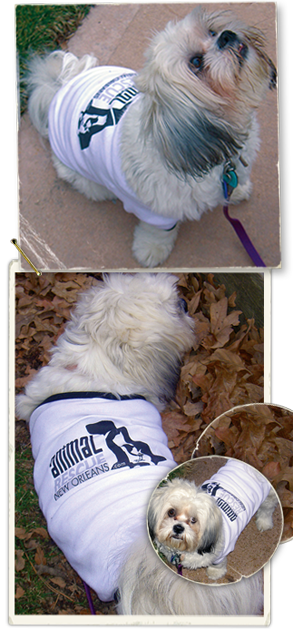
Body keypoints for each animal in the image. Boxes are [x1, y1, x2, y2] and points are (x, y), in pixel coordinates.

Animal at [26, 7, 274, 268]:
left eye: (212, 31)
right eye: (196, 62)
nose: (226, 35)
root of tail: (61, 88)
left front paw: (238, 191)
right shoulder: (157, 211)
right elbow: (158, 232)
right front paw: (152, 250)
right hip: (86, 178)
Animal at [147, 458, 278, 580]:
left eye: (194, 520)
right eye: (171, 512)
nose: (178, 528)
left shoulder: (220, 554)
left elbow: (218, 565)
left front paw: (215, 573)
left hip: (268, 497)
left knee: (267, 509)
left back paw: (264, 522)